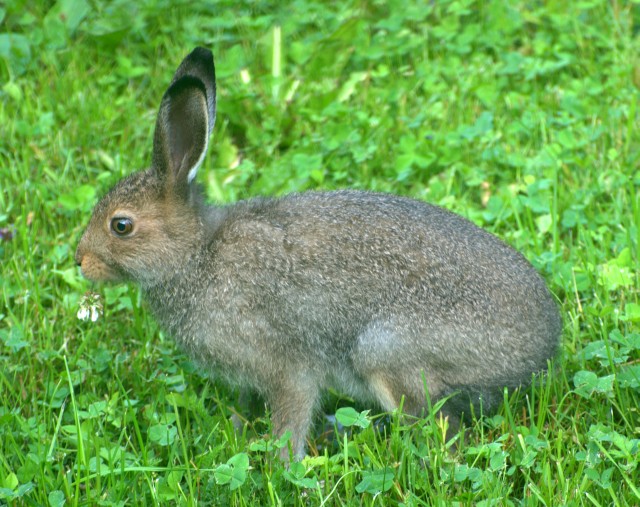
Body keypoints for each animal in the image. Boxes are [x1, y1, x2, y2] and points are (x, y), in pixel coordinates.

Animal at [76, 47, 562, 461]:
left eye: (121, 226)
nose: (80, 260)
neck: (197, 254)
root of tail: (540, 350)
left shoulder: (288, 368)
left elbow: (290, 418)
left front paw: (281, 468)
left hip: (385, 352)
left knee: (443, 434)